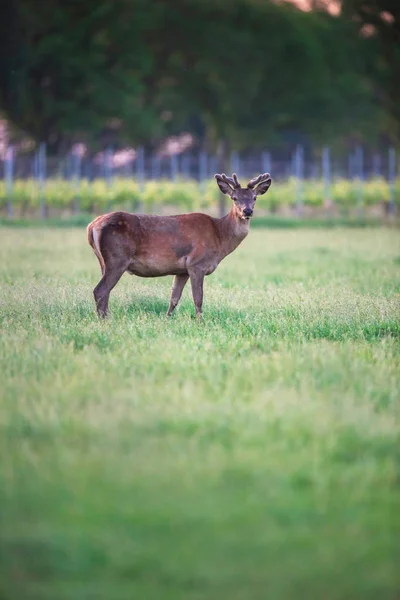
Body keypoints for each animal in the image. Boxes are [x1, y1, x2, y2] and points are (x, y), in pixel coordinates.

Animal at [87, 172, 272, 318]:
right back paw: (105, 321)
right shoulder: (196, 263)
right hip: (117, 258)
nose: (247, 211)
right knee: (100, 290)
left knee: (105, 292)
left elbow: (174, 299)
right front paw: (200, 322)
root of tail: (92, 226)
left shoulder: (181, 270)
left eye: (254, 198)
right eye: (234, 198)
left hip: (104, 261)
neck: (219, 236)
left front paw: (167, 319)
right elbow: (198, 298)